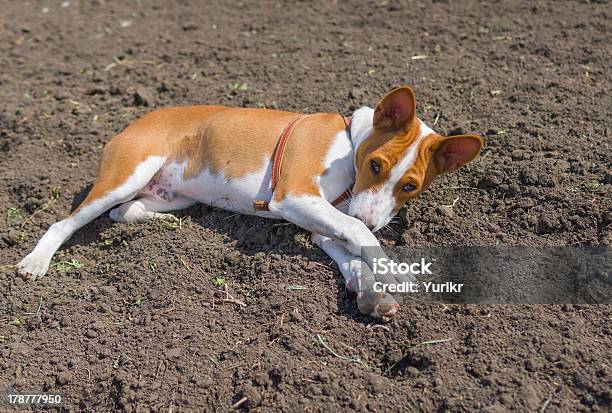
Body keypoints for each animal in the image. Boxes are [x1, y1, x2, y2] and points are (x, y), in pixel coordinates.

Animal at [15, 86, 482, 318]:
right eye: (376, 164)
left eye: (410, 187)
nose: (371, 215)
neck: (348, 143)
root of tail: (132, 124)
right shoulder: (295, 197)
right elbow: (356, 231)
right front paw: (394, 273)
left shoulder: (320, 222)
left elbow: (351, 248)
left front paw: (370, 290)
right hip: (125, 175)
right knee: (66, 222)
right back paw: (35, 262)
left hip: (170, 198)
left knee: (123, 212)